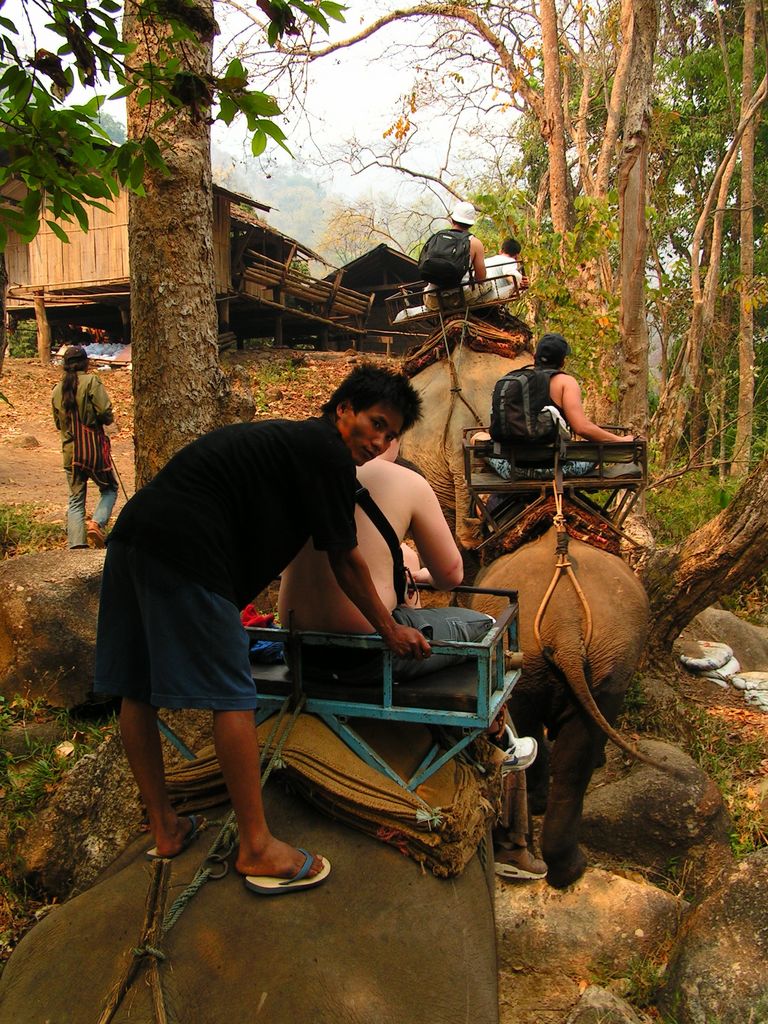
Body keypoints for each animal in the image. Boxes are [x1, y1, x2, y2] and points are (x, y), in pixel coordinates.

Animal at [473, 528, 651, 888]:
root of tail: (566, 626)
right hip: (602, 666)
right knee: (571, 757)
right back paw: (569, 866)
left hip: (585, 663)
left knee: (560, 751)